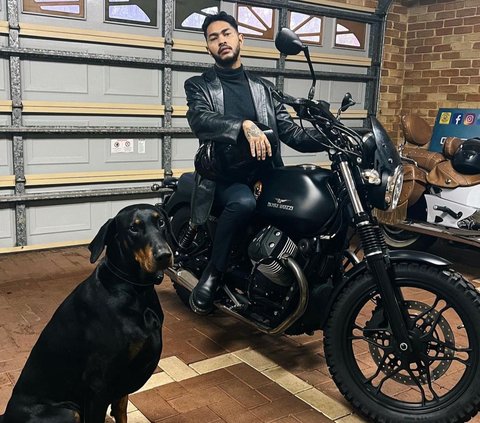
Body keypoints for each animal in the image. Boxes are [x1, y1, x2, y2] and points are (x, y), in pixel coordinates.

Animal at [0, 204, 173, 422]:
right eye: (133, 228)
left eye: (161, 222)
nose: (164, 255)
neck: (135, 292)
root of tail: (6, 416)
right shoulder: (98, 385)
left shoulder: (121, 385)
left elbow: (121, 411)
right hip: (68, 410)